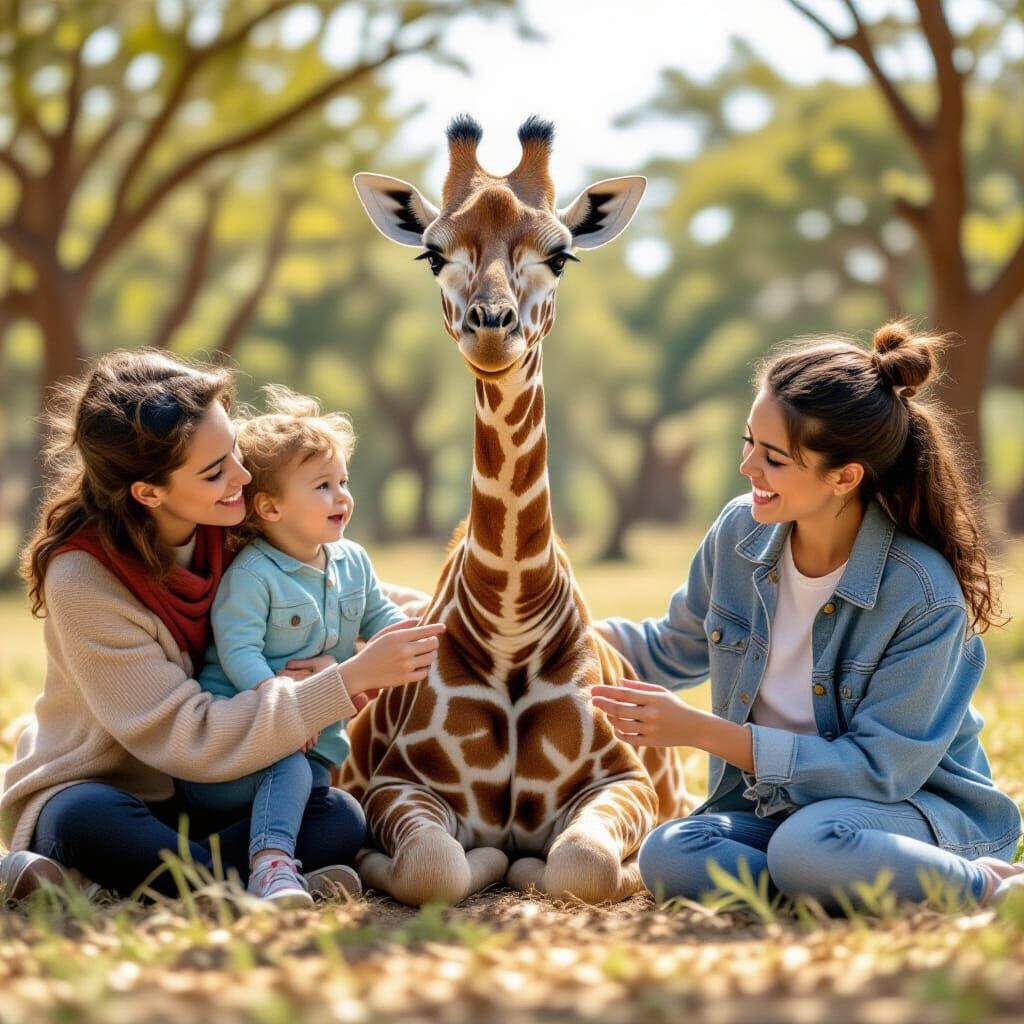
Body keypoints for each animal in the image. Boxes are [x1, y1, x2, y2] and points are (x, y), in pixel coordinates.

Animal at [341, 116, 693, 906]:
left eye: (559, 256)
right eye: (432, 253)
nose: (492, 328)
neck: (507, 630)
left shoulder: (625, 779)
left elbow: (581, 863)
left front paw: (566, 866)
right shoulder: (395, 783)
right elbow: (435, 866)